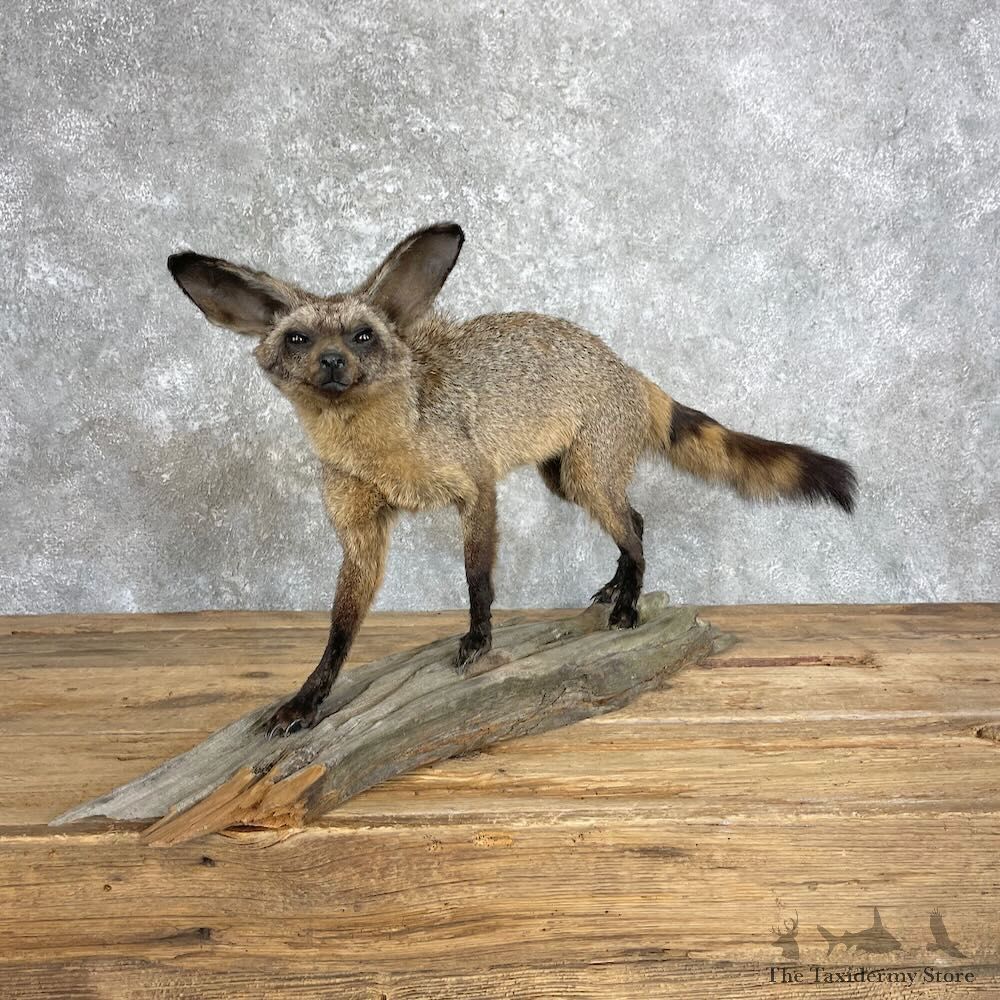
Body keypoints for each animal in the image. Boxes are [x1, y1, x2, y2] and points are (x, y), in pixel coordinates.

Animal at [167, 222, 857, 737]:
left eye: (363, 336)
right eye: (297, 338)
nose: (333, 363)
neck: (386, 450)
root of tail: (626, 368)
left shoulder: (476, 486)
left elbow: (478, 579)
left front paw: (478, 641)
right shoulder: (359, 530)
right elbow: (340, 629)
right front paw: (308, 700)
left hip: (586, 473)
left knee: (634, 527)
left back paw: (629, 605)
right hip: (566, 478)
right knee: (634, 519)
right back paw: (617, 588)